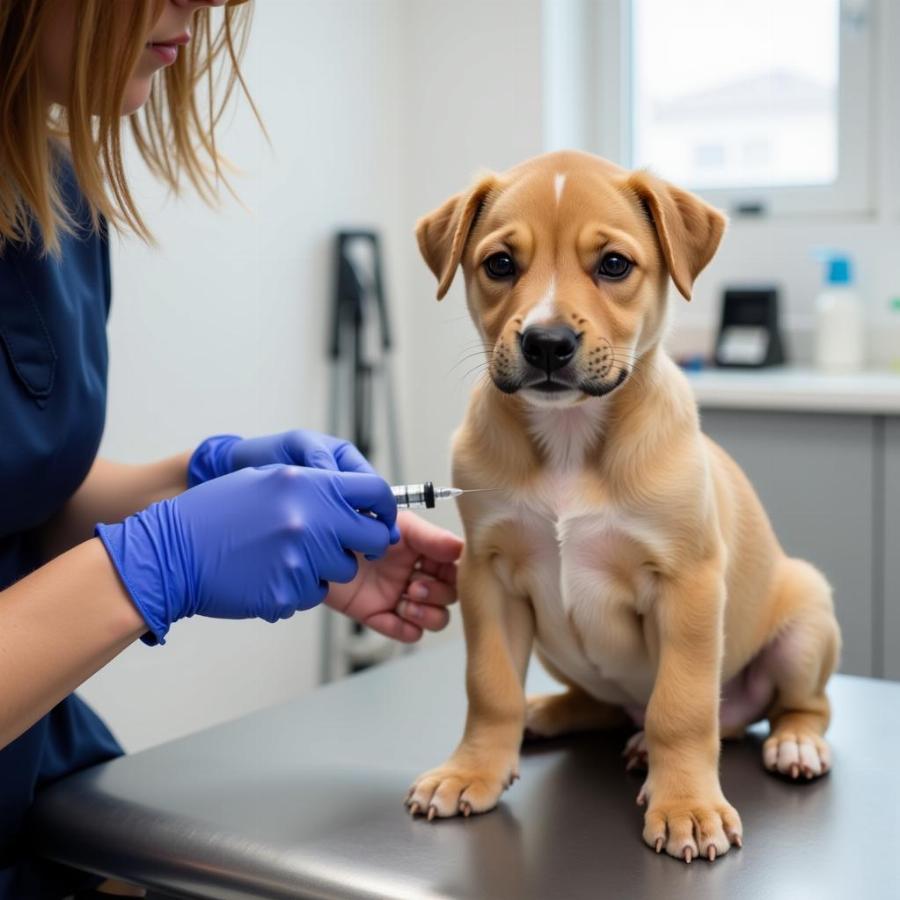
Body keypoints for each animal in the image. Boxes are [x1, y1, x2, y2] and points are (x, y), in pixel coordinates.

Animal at [404, 151, 840, 860]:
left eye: (613, 264)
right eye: (500, 264)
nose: (547, 344)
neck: (570, 439)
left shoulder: (688, 584)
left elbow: (682, 707)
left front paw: (688, 804)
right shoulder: (487, 576)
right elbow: (489, 686)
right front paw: (472, 770)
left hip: (805, 620)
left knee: (797, 705)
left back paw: (793, 743)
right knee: (602, 704)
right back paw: (546, 713)